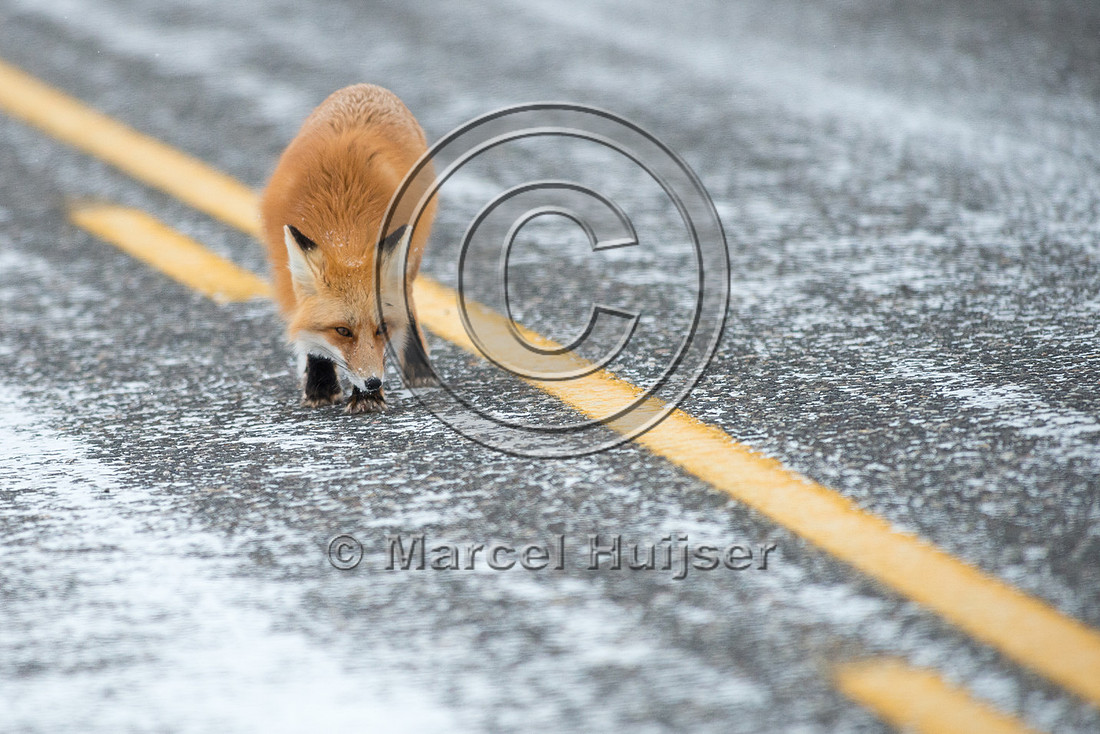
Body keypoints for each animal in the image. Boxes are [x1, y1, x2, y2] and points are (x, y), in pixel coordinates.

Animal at [260, 84, 438, 414]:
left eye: (382, 328)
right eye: (342, 331)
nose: (373, 383)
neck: (343, 229)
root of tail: (366, 87)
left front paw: (366, 398)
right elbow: (310, 336)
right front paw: (321, 385)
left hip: (410, 254)